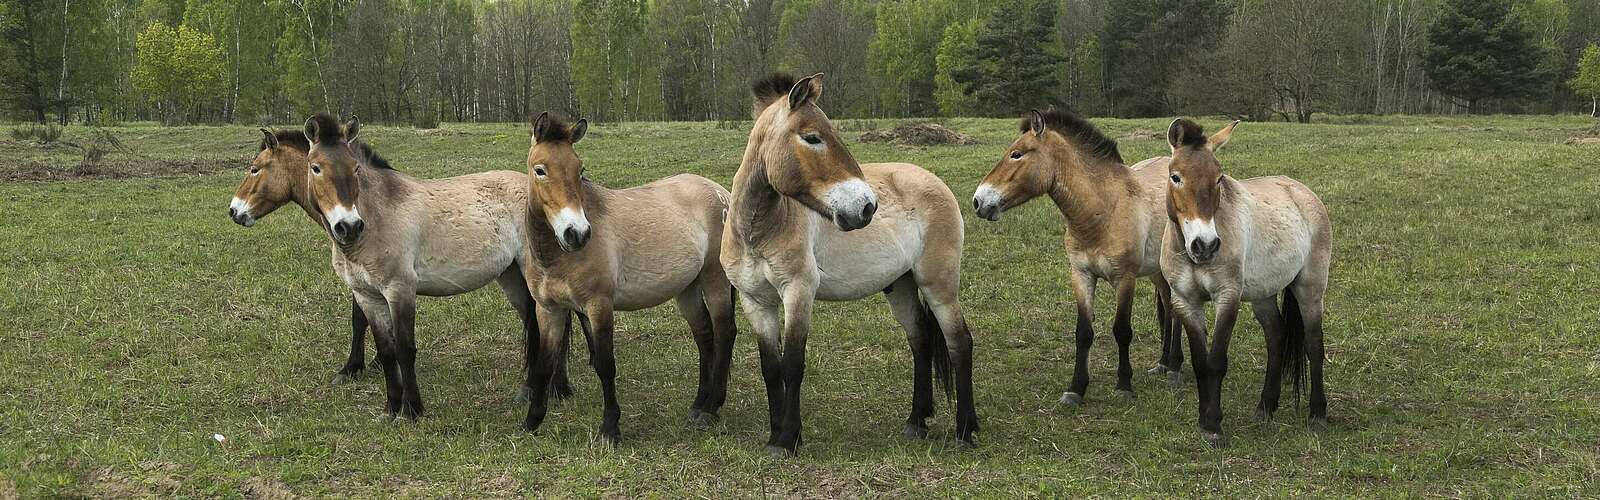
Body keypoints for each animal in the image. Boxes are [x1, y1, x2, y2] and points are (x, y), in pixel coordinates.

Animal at [224, 126, 576, 395]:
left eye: (254, 168)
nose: (234, 211)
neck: (371, 208)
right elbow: (368, 323)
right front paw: (370, 365)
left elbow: (363, 323)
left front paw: (354, 368)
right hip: (510, 274)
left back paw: (556, 388)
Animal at [515, 111, 739, 442]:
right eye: (540, 170)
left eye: (580, 169)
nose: (576, 233)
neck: (556, 257)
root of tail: (721, 193)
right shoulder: (549, 309)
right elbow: (544, 365)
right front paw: (531, 423)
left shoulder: (599, 306)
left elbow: (606, 365)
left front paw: (610, 428)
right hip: (688, 288)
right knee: (704, 336)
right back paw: (699, 404)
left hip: (715, 280)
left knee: (725, 333)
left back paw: (711, 409)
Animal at [723, 72, 972, 455]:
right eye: (812, 137)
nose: (867, 207)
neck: (757, 231)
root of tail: (935, 183)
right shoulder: (756, 303)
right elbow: (771, 368)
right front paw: (774, 435)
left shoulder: (798, 293)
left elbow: (792, 365)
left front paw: (789, 438)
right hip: (901, 286)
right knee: (920, 342)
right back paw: (916, 421)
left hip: (938, 286)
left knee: (959, 343)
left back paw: (966, 430)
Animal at [966, 108, 1196, 407]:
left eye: (1017, 154)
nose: (978, 201)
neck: (1103, 211)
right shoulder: (1082, 275)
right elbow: (1083, 333)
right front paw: (1076, 389)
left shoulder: (1125, 279)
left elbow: (1122, 331)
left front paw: (1124, 385)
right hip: (1157, 271)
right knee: (1168, 307)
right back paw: (1164, 363)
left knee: (1176, 312)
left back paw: (1175, 368)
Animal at [1158, 119, 1331, 448]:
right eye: (1176, 177)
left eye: (1219, 178)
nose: (1205, 245)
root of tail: (1303, 193)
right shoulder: (1185, 301)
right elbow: (1200, 362)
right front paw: (1204, 421)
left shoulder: (1228, 297)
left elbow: (1216, 361)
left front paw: (1213, 425)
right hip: (1264, 295)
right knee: (1276, 336)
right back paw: (1266, 406)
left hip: (1310, 289)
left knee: (1314, 343)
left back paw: (1318, 413)